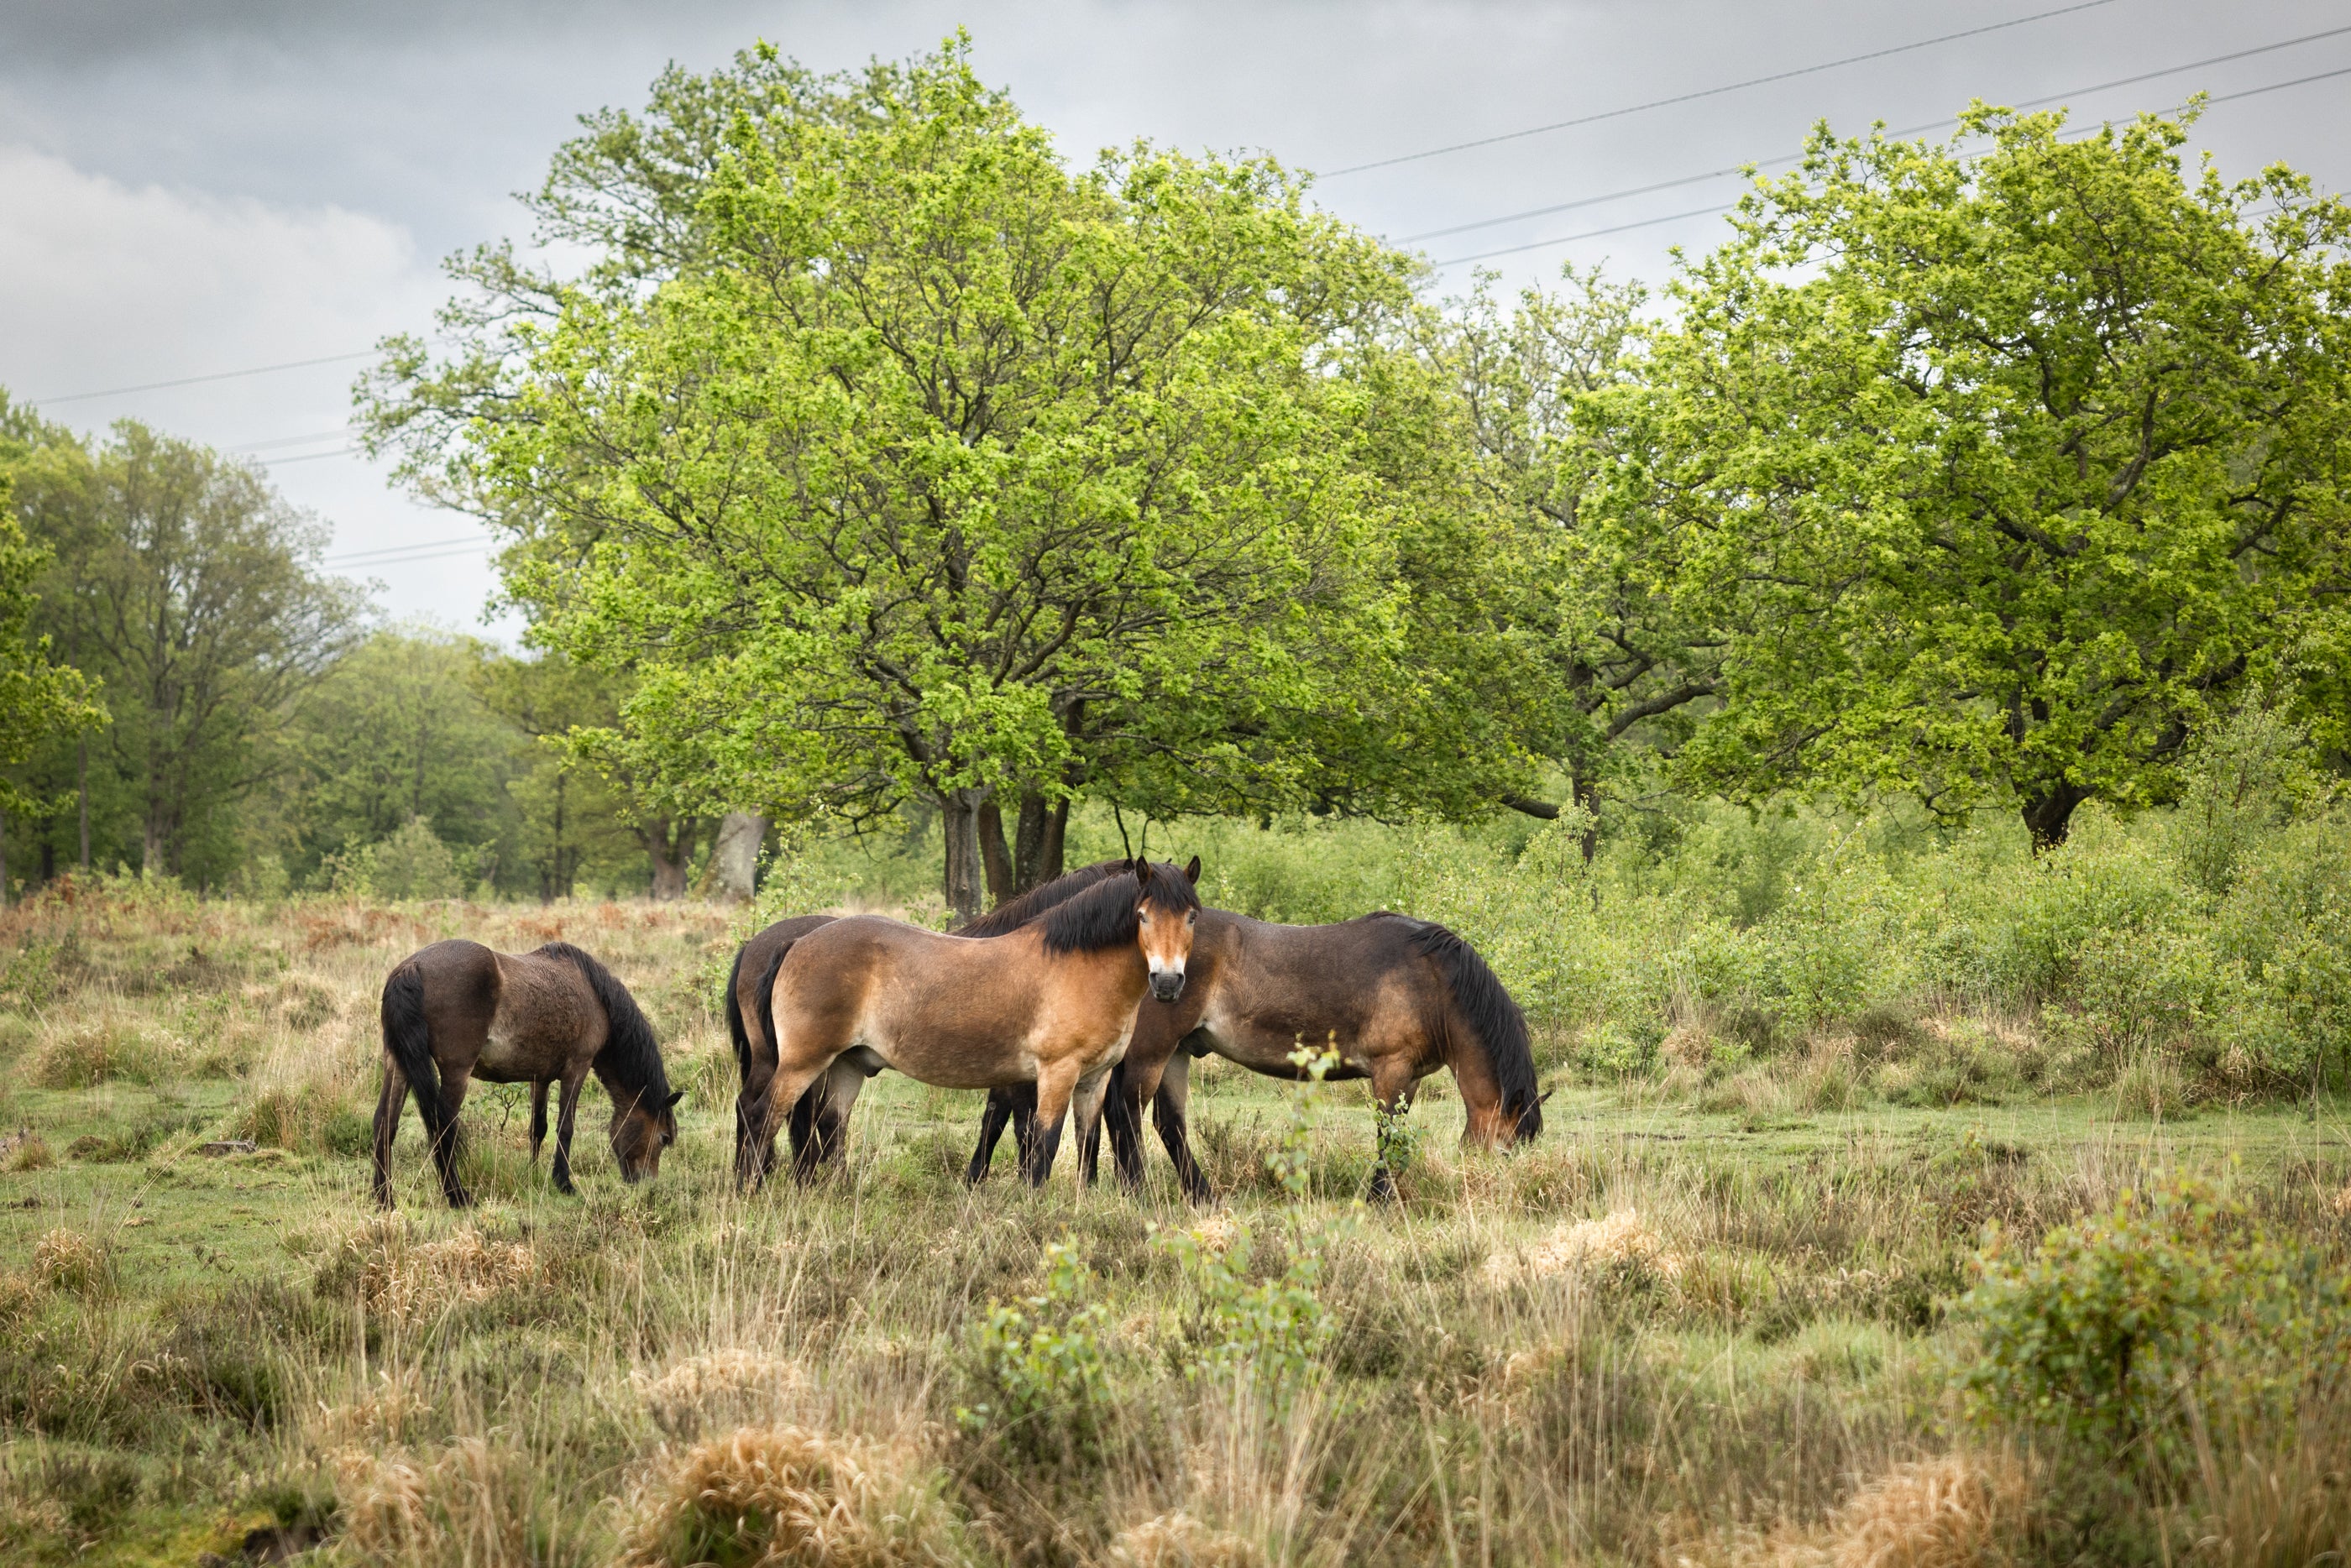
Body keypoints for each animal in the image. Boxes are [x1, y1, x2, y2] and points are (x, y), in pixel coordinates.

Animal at [373, 939, 683, 1209]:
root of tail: (412, 967)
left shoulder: (540, 1078)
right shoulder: (577, 1068)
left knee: (385, 1124)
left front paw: (533, 1174)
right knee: (442, 1129)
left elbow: (538, 1128)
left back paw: (384, 1199)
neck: (595, 995)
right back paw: (458, 1197)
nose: (646, 1184)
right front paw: (563, 1183)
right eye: (664, 1138)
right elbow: (565, 1128)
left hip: (399, 1065)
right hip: (455, 1072)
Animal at [754, 857, 1201, 1188]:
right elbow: (1042, 1145)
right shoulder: (1056, 1074)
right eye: (1142, 916)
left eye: (1192, 917)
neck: (1078, 965)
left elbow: (1085, 1143)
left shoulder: (1094, 1079)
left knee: (830, 1125)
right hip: (802, 1063)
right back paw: (752, 1190)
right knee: (762, 1117)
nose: (1167, 981)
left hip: (848, 1064)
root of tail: (797, 943)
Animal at [969, 910, 1544, 1202]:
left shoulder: (1410, 1077)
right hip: (1153, 1051)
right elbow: (1387, 1136)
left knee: (1166, 1123)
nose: (1497, 1193)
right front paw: (1379, 1197)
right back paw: (1140, 1193)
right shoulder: (1391, 1071)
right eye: (1508, 1149)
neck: (1431, 980)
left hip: (1177, 1054)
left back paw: (1201, 1194)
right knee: (1126, 1114)